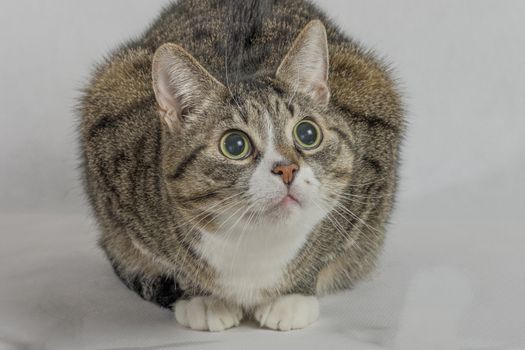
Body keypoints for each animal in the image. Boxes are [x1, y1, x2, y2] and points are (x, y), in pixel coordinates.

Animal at [80, 0, 404, 330]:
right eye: (235, 145)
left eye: (307, 133)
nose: (287, 169)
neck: (254, 243)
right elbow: (174, 262)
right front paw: (202, 298)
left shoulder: (370, 178)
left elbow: (325, 247)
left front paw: (292, 297)